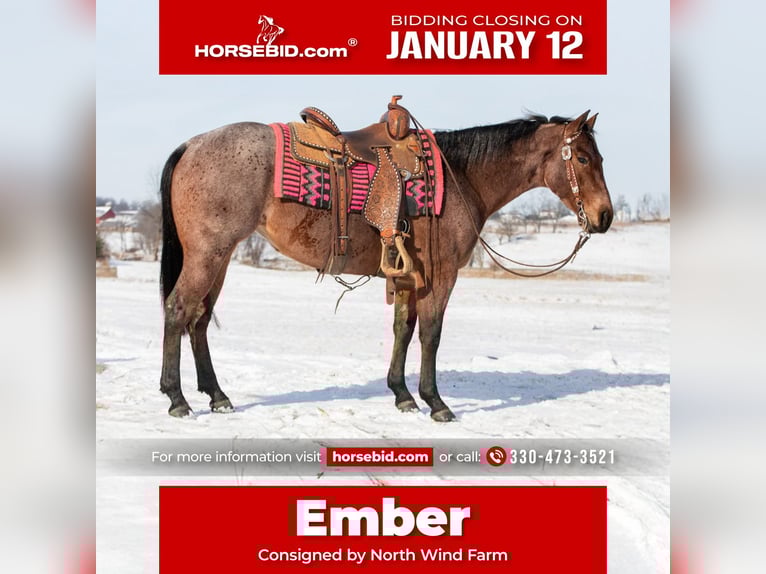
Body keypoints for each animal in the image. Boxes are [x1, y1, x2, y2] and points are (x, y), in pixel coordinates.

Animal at [158, 108, 613, 422]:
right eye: (584, 160)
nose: (605, 216)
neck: (462, 176)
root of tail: (191, 145)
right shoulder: (440, 275)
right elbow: (430, 334)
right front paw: (436, 402)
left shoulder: (409, 276)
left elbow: (403, 330)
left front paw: (402, 395)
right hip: (208, 254)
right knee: (178, 310)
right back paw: (177, 398)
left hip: (219, 258)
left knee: (199, 320)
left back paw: (217, 396)